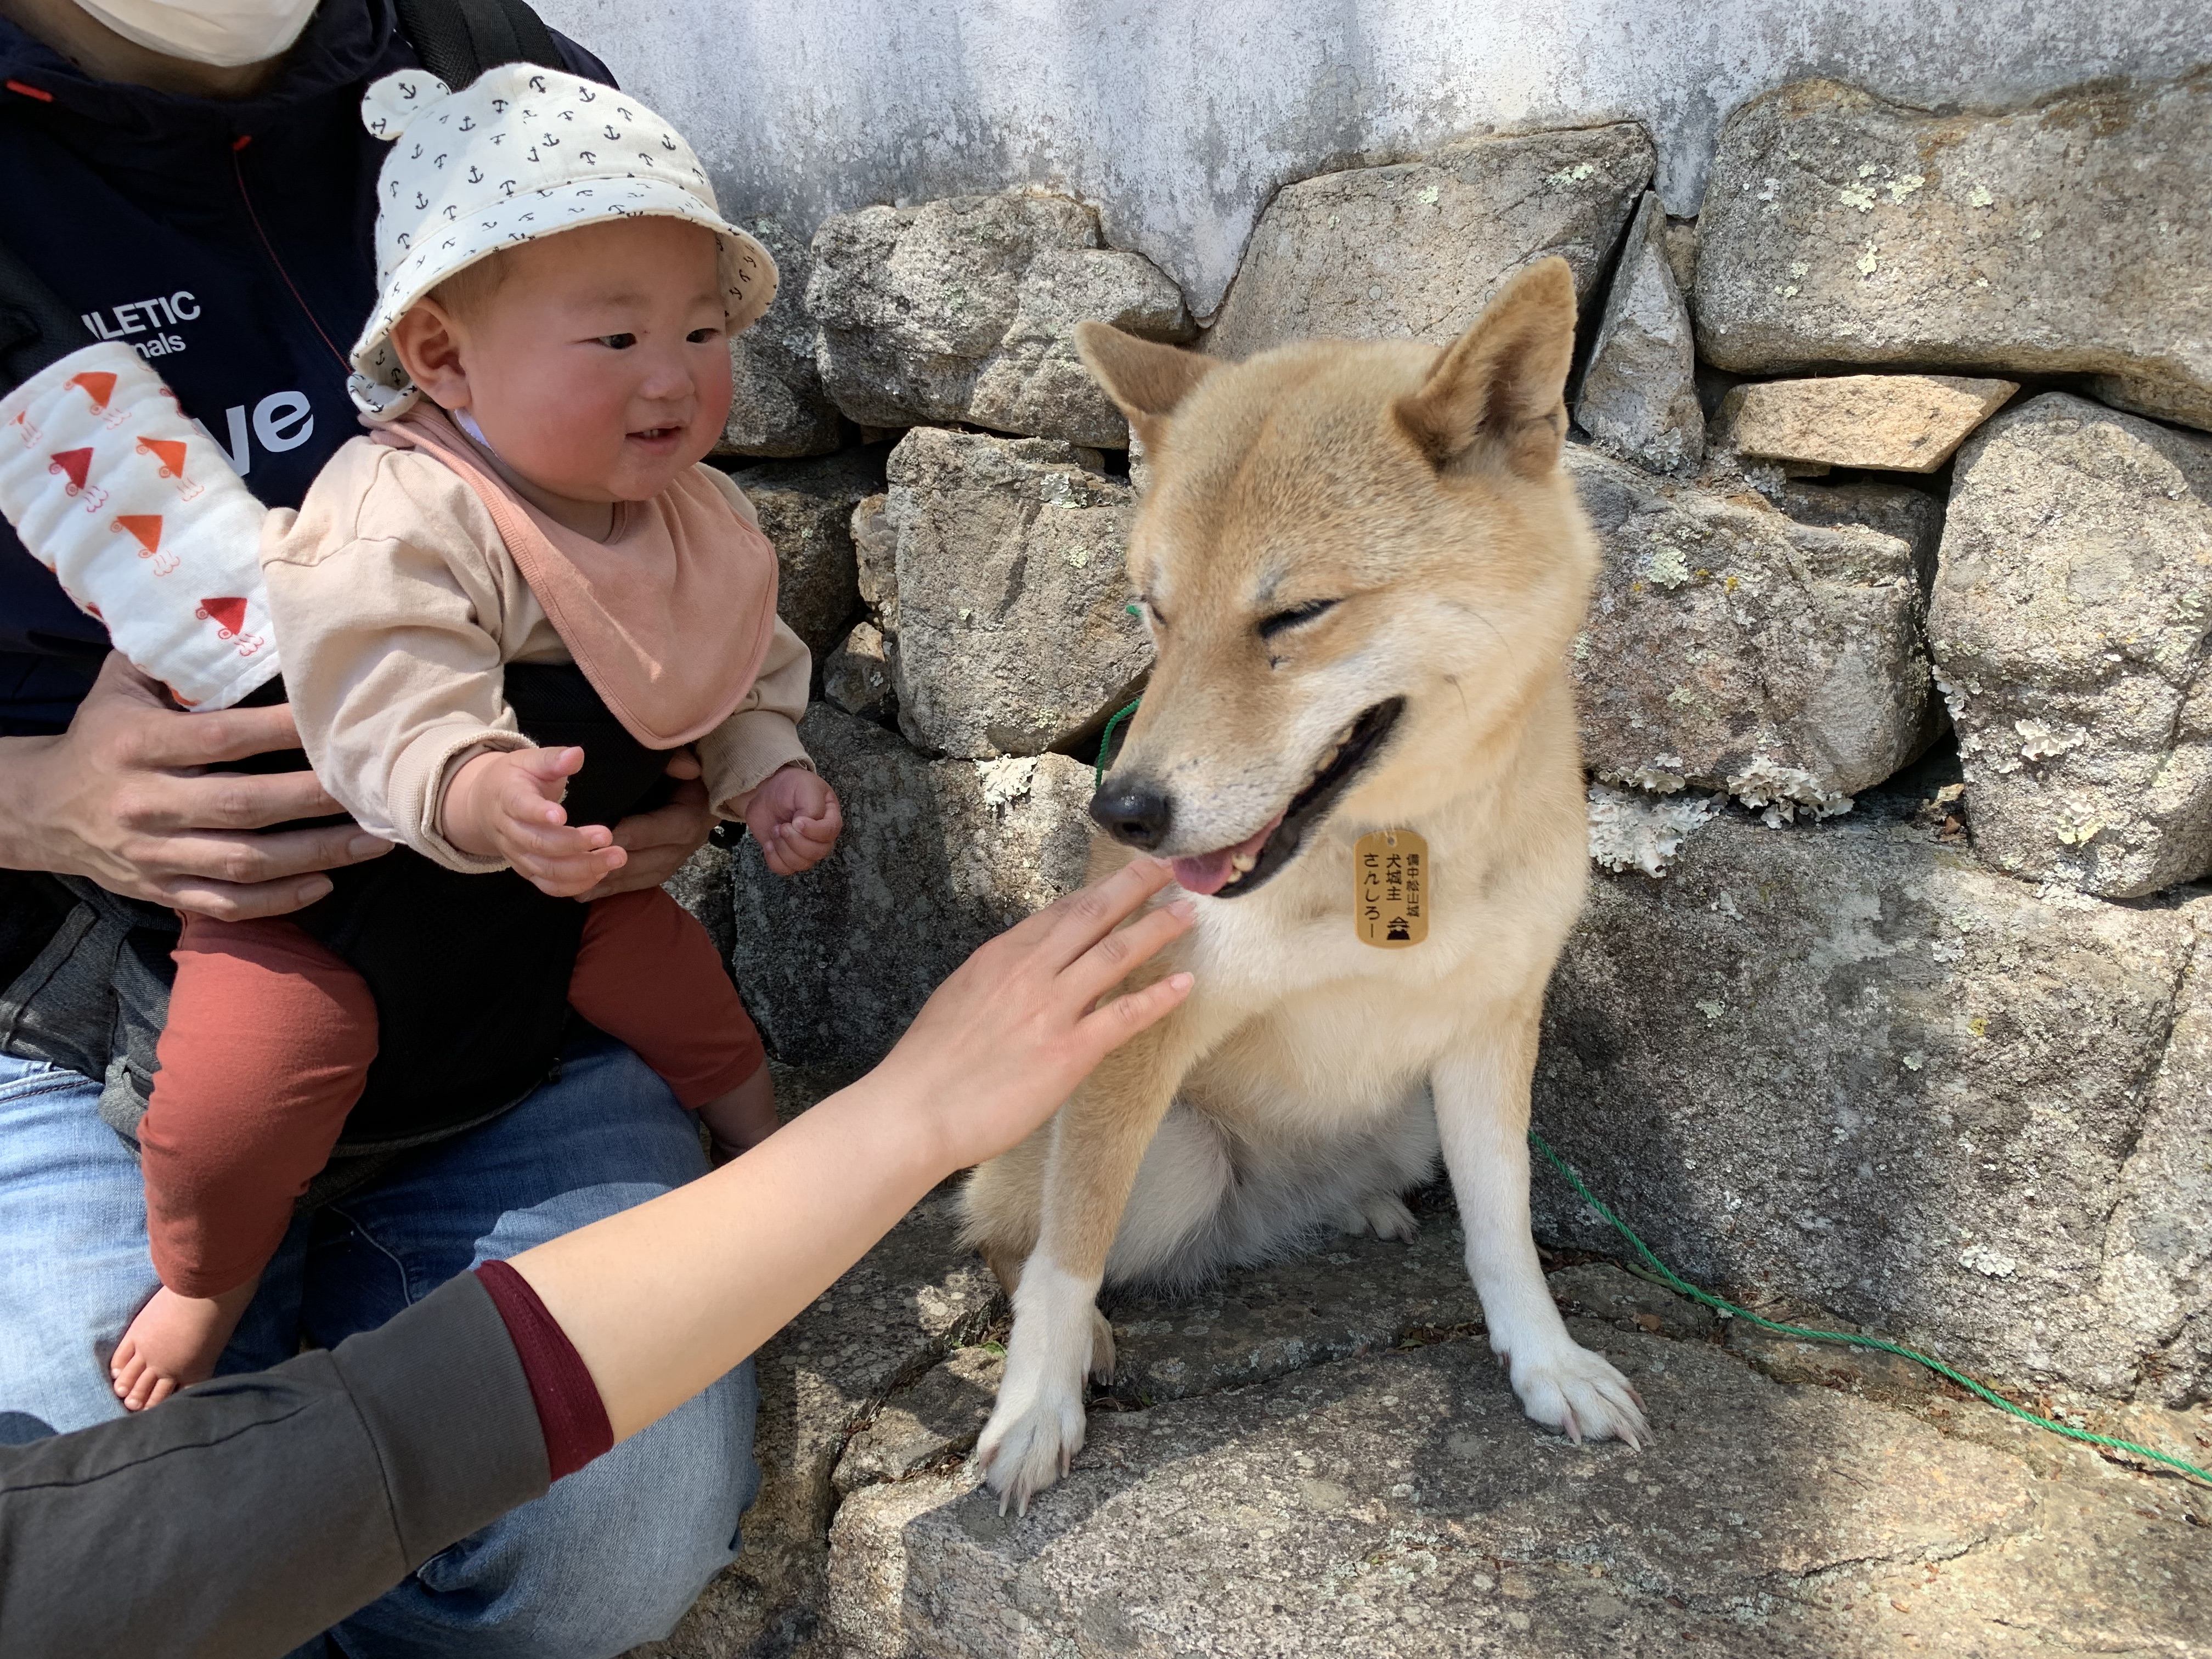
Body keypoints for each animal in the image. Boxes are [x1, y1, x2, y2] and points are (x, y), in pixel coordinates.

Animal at [960, 259, 1654, 1522]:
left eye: (1292, 615)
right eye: (1154, 610)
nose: (1123, 813)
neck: (1392, 846)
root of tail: (1255, 1220)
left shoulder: (1491, 1028)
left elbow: (1505, 1228)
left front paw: (1547, 1363)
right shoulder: (1131, 1032)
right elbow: (1065, 1252)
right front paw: (1035, 1408)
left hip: (1406, 1122)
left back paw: (1355, 1207)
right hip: (1176, 1156)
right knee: (1015, 1239)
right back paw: (1088, 1338)